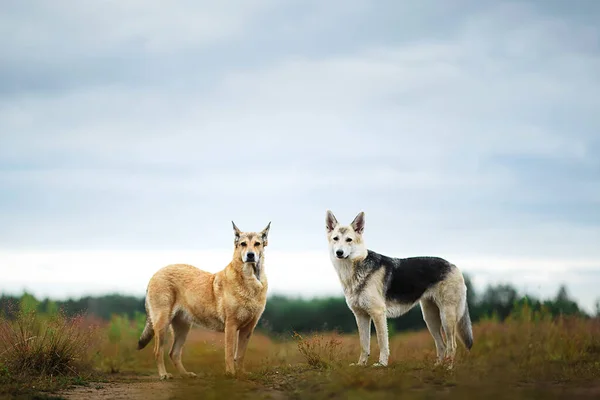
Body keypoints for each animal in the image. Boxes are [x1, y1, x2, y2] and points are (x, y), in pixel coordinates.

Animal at [137, 220, 270, 380]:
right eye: (243, 244)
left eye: (257, 244)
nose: (250, 255)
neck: (250, 280)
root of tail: (155, 274)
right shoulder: (231, 326)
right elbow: (229, 354)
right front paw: (230, 374)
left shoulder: (248, 329)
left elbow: (240, 355)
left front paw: (241, 374)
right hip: (162, 324)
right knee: (158, 351)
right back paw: (164, 375)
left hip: (183, 328)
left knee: (174, 353)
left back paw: (186, 374)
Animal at [324, 209, 474, 368]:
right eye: (335, 239)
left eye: (349, 240)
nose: (339, 253)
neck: (353, 270)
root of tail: (454, 266)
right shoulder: (361, 316)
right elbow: (364, 344)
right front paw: (361, 365)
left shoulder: (378, 313)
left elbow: (382, 342)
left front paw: (382, 364)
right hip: (430, 319)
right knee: (442, 345)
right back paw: (438, 367)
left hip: (446, 317)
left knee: (452, 345)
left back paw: (448, 368)